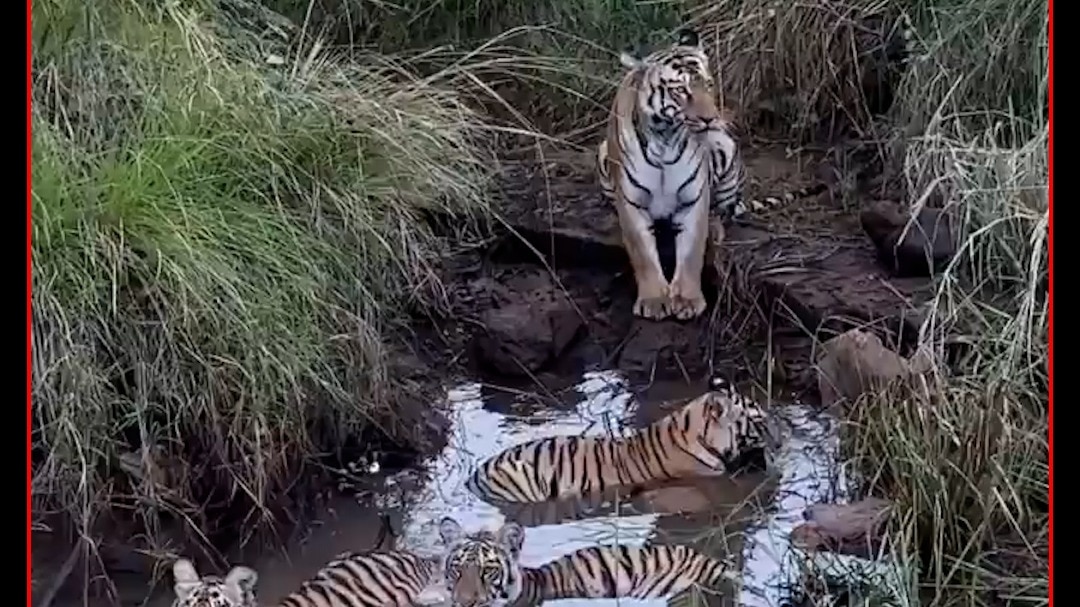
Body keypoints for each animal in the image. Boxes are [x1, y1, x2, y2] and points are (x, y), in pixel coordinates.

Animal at [596, 27, 826, 321]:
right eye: (680, 90)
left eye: (708, 84)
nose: (710, 118)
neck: (665, 138)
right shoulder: (631, 200)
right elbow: (643, 254)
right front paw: (655, 300)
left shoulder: (694, 197)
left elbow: (691, 251)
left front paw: (687, 300)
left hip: (726, 149)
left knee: (722, 211)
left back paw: (715, 229)